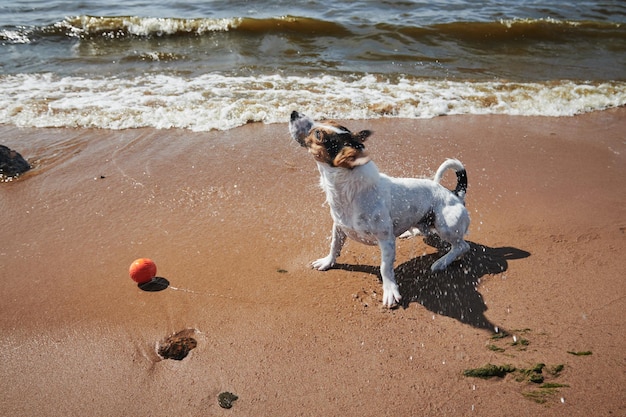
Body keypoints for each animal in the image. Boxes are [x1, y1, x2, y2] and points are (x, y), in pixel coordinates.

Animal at [290, 109, 470, 306]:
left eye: (317, 134)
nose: (294, 113)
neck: (348, 191)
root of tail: (456, 194)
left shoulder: (386, 240)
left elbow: (385, 267)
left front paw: (390, 290)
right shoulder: (338, 226)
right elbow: (334, 245)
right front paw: (327, 261)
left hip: (445, 226)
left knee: (462, 246)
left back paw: (442, 262)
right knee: (428, 232)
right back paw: (411, 232)